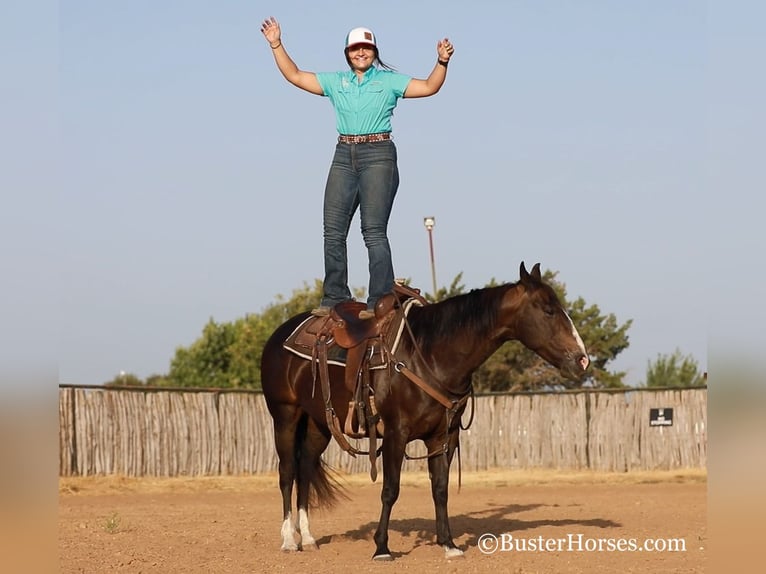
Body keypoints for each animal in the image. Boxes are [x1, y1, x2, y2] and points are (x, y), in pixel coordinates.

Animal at [260, 264, 592, 560]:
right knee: (287, 472)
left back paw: (309, 538)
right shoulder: (395, 434)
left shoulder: (444, 436)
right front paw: (382, 547)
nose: (582, 359)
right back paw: (289, 540)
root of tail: (281, 335)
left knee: (305, 469)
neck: (429, 353)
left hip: (319, 424)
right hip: (285, 417)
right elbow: (391, 489)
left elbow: (441, 489)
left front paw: (449, 544)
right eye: (547, 310)